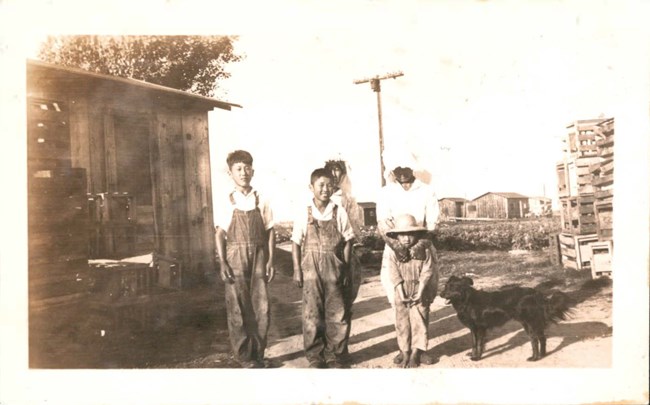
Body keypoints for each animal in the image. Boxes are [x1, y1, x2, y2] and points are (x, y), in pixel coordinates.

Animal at [438, 274, 568, 360]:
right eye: (446, 286)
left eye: (453, 288)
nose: (440, 294)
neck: (467, 300)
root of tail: (536, 293)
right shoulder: (474, 328)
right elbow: (474, 343)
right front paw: (473, 354)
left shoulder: (479, 328)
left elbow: (478, 343)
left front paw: (477, 357)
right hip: (531, 323)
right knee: (542, 338)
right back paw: (542, 355)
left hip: (530, 323)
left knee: (534, 340)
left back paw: (534, 358)